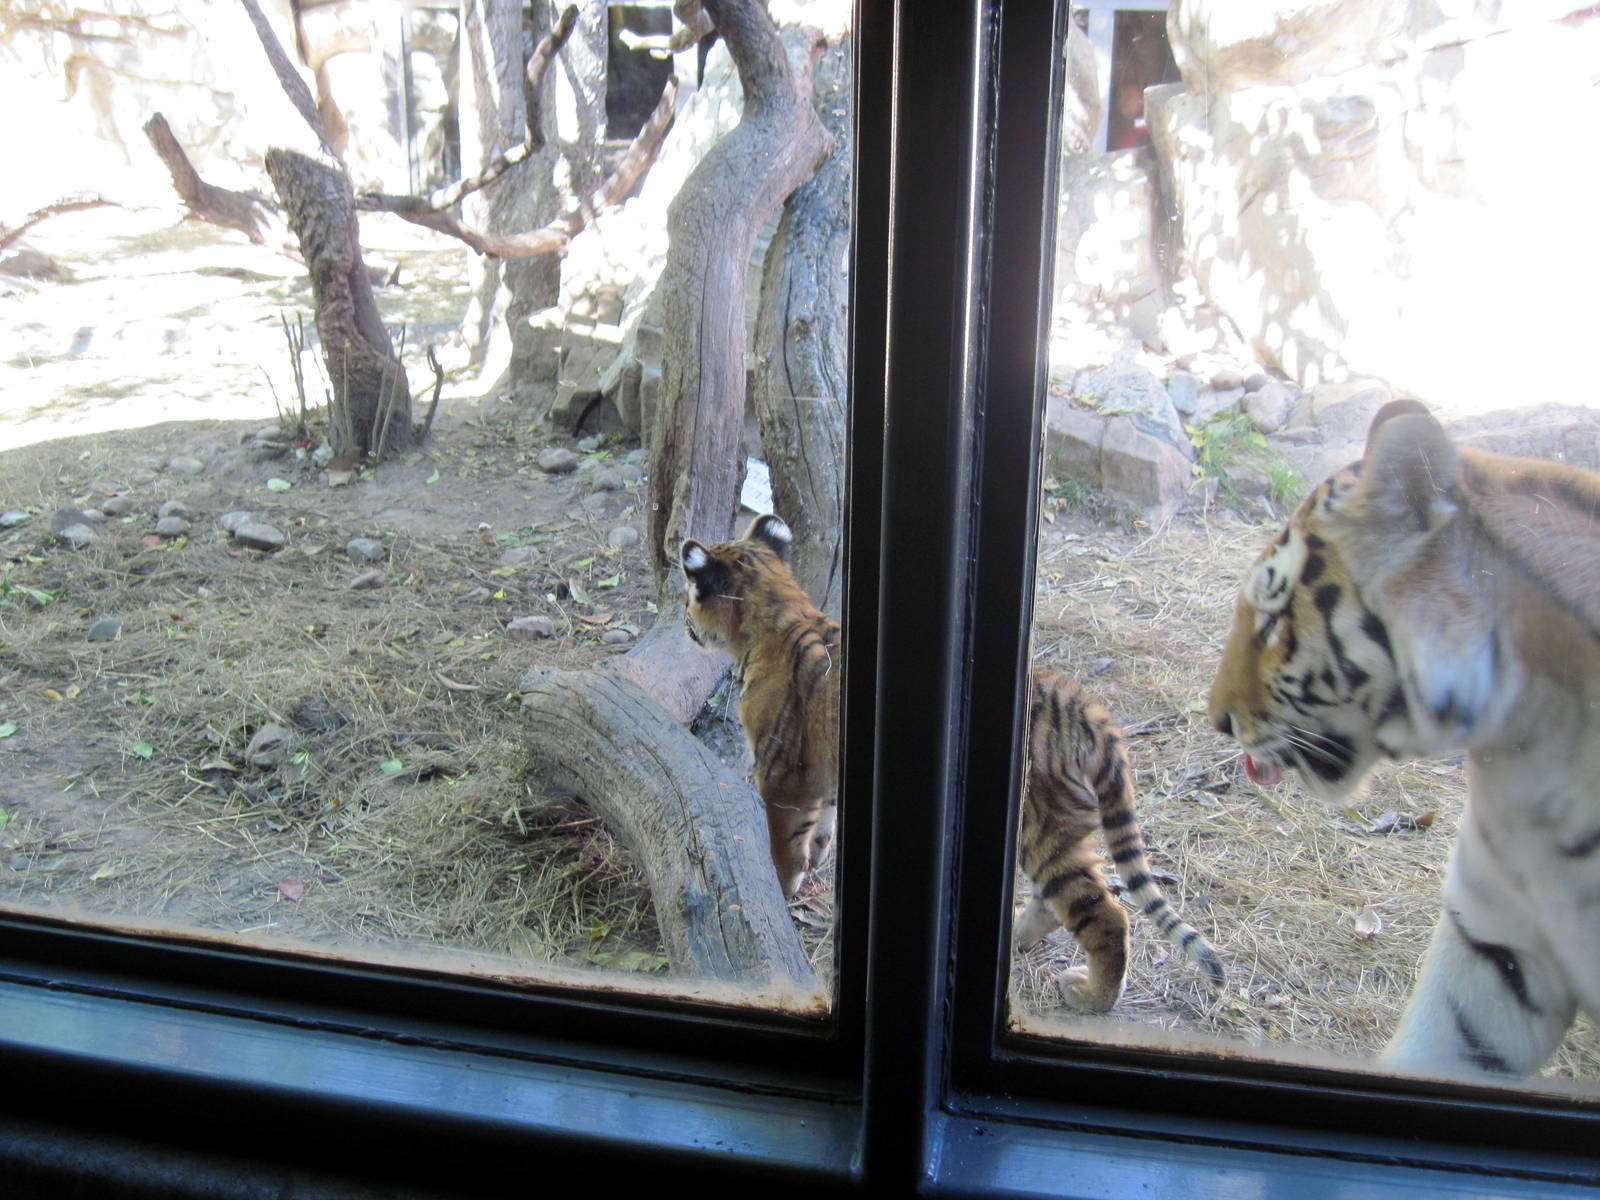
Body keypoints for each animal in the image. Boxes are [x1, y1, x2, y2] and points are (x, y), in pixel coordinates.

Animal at [681, 514, 840, 900]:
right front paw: (819, 855)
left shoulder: (782, 778)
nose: (682, 617)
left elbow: (785, 845)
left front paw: (782, 889)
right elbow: (825, 823)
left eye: (689, 595)